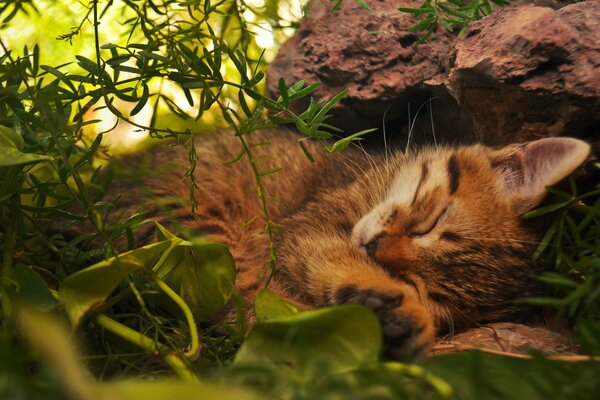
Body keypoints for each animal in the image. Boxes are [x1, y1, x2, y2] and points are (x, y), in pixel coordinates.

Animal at [109, 130, 592, 358]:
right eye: (432, 222)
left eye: (426, 290)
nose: (376, 251)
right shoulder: (309, 228)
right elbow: (330, 259)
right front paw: (394, 306)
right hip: (190, 225)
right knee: (243, 299)